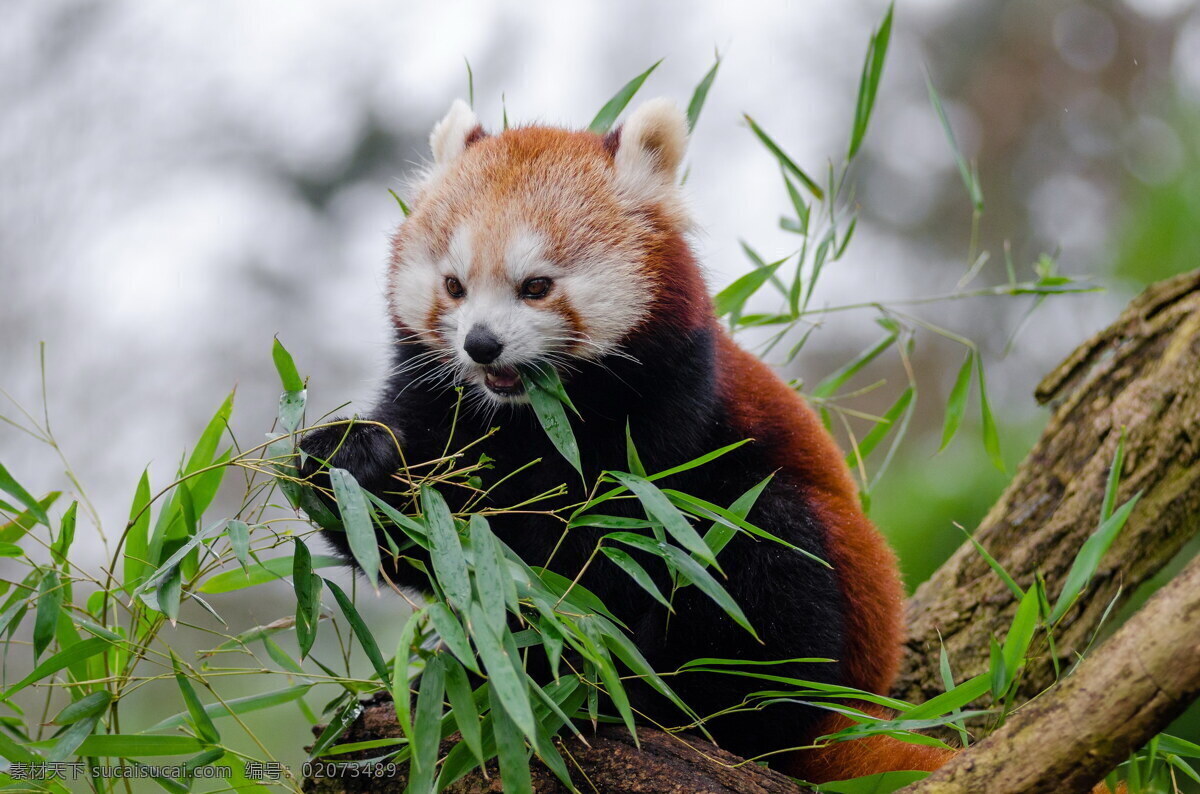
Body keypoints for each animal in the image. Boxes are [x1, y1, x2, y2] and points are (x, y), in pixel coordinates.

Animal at [302, 97, 955, 782]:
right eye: (454, 286)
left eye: (535, 286)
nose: (481, 344)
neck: (532, 416)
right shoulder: (439, 399)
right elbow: (427, 538)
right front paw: (348, 461)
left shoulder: (668, 416)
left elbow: (607, 547)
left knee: (764, 552)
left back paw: (654, 697)